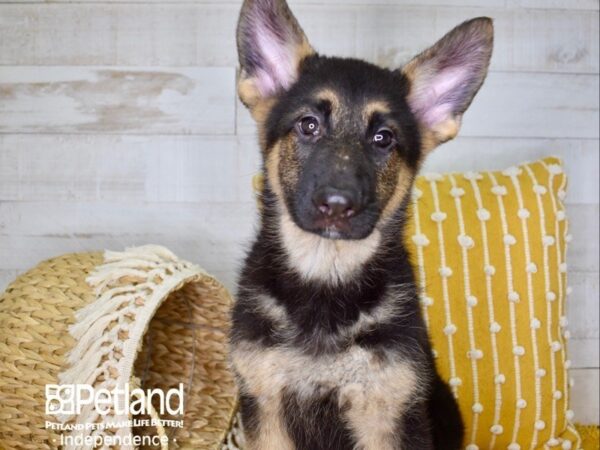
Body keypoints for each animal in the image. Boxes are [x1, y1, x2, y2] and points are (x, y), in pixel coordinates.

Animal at [230, 1, 492, 448]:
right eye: (309, 125)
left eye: (383, 138)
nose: (337, 205)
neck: (325, 276)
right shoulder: (266, 410)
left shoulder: (388, 415)